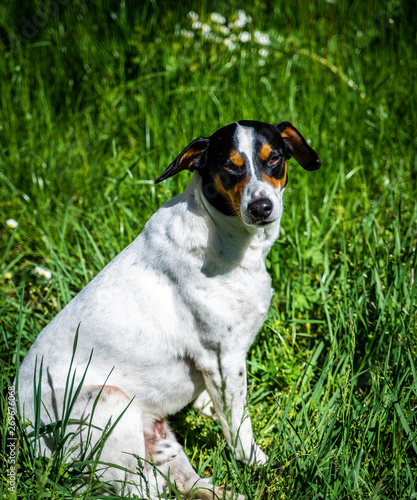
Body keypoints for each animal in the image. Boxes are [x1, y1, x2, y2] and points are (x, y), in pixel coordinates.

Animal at [17, 119, 320, 498]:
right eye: (229, 166)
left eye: (275, 158)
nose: (261, 207)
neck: (221, 235)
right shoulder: (222, 359)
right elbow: (239, 427)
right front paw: (256, 461)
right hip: (107, 406)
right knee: (140, 487)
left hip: (164, 443)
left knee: (186, 484)